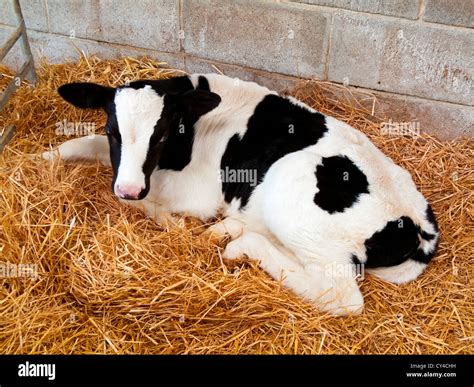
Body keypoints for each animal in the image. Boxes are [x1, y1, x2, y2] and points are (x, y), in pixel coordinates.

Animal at [42, 74, 438, 316]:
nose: (128, 188)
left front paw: (173, 223)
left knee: (342, 296)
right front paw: (43, 159)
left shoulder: (197, 191)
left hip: (292, 194)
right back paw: (231, 231)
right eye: (113, 131)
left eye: (163, 133)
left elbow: (152, 204)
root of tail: (417, 222)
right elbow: (80, 143)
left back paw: (238, 244)